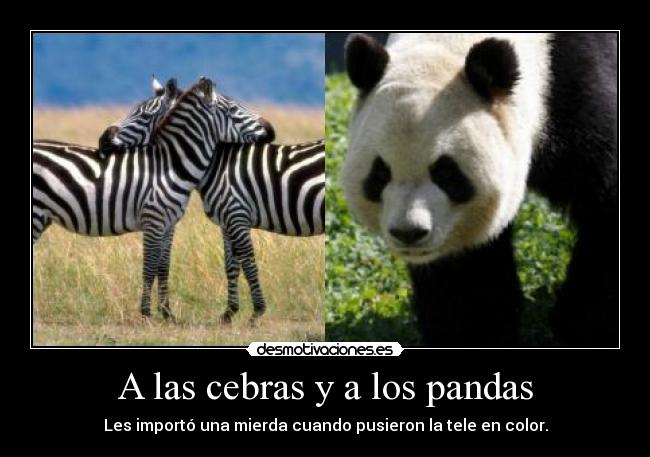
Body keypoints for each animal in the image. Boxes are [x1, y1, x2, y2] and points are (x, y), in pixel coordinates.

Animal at [342, 33, 618, 347]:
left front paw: (581, 325)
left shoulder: (578, 90)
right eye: (380, 174)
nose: (408, 233)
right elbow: (466, 280)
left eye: (446, 173)